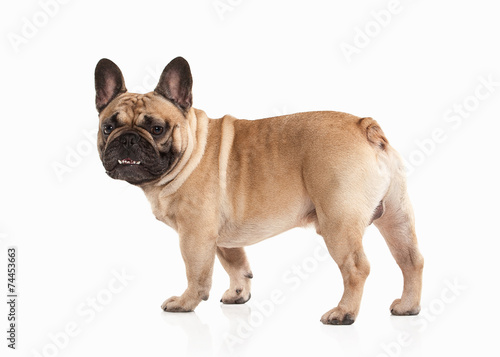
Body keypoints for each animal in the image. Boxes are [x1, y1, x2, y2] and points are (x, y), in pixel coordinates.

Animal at [93, 57, 422, 324]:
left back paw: (344, 313)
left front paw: (185, 303)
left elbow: (197, 273)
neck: (191, 148)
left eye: (157, 129)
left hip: (338, 222)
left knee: (356, 268)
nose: (128, 139)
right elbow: (236, 264)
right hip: (395, 216)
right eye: (108, 128)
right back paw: (408, 307)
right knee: (411, 259)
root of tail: (364, 126)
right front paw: (239, 294)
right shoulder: (222, 237)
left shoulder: (195, 235)